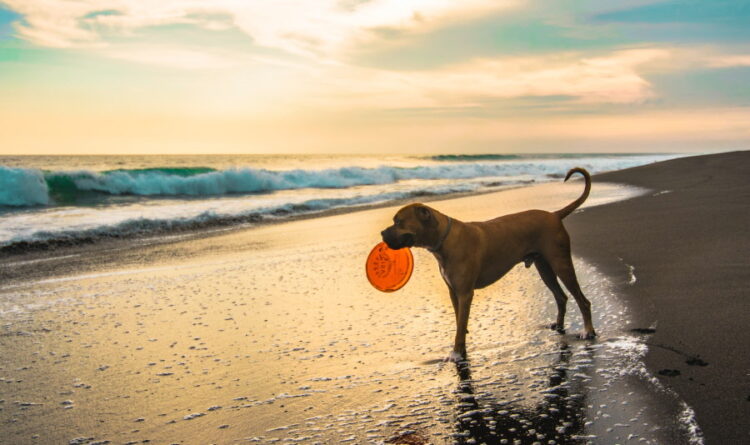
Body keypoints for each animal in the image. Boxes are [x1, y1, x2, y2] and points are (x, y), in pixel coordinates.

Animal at [382, 167, 600, 360]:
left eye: (399, 222)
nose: (382, 233)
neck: (444, 239)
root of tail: (554, 214)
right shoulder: (454, 292)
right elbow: (459, 321)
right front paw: (461, 346)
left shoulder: (465, 293)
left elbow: (460, 325)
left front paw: (456, 353)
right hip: (544, 267)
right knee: (561, 296)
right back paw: (559, 324)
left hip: (561, 264)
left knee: (583, 300)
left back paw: (588, 331)